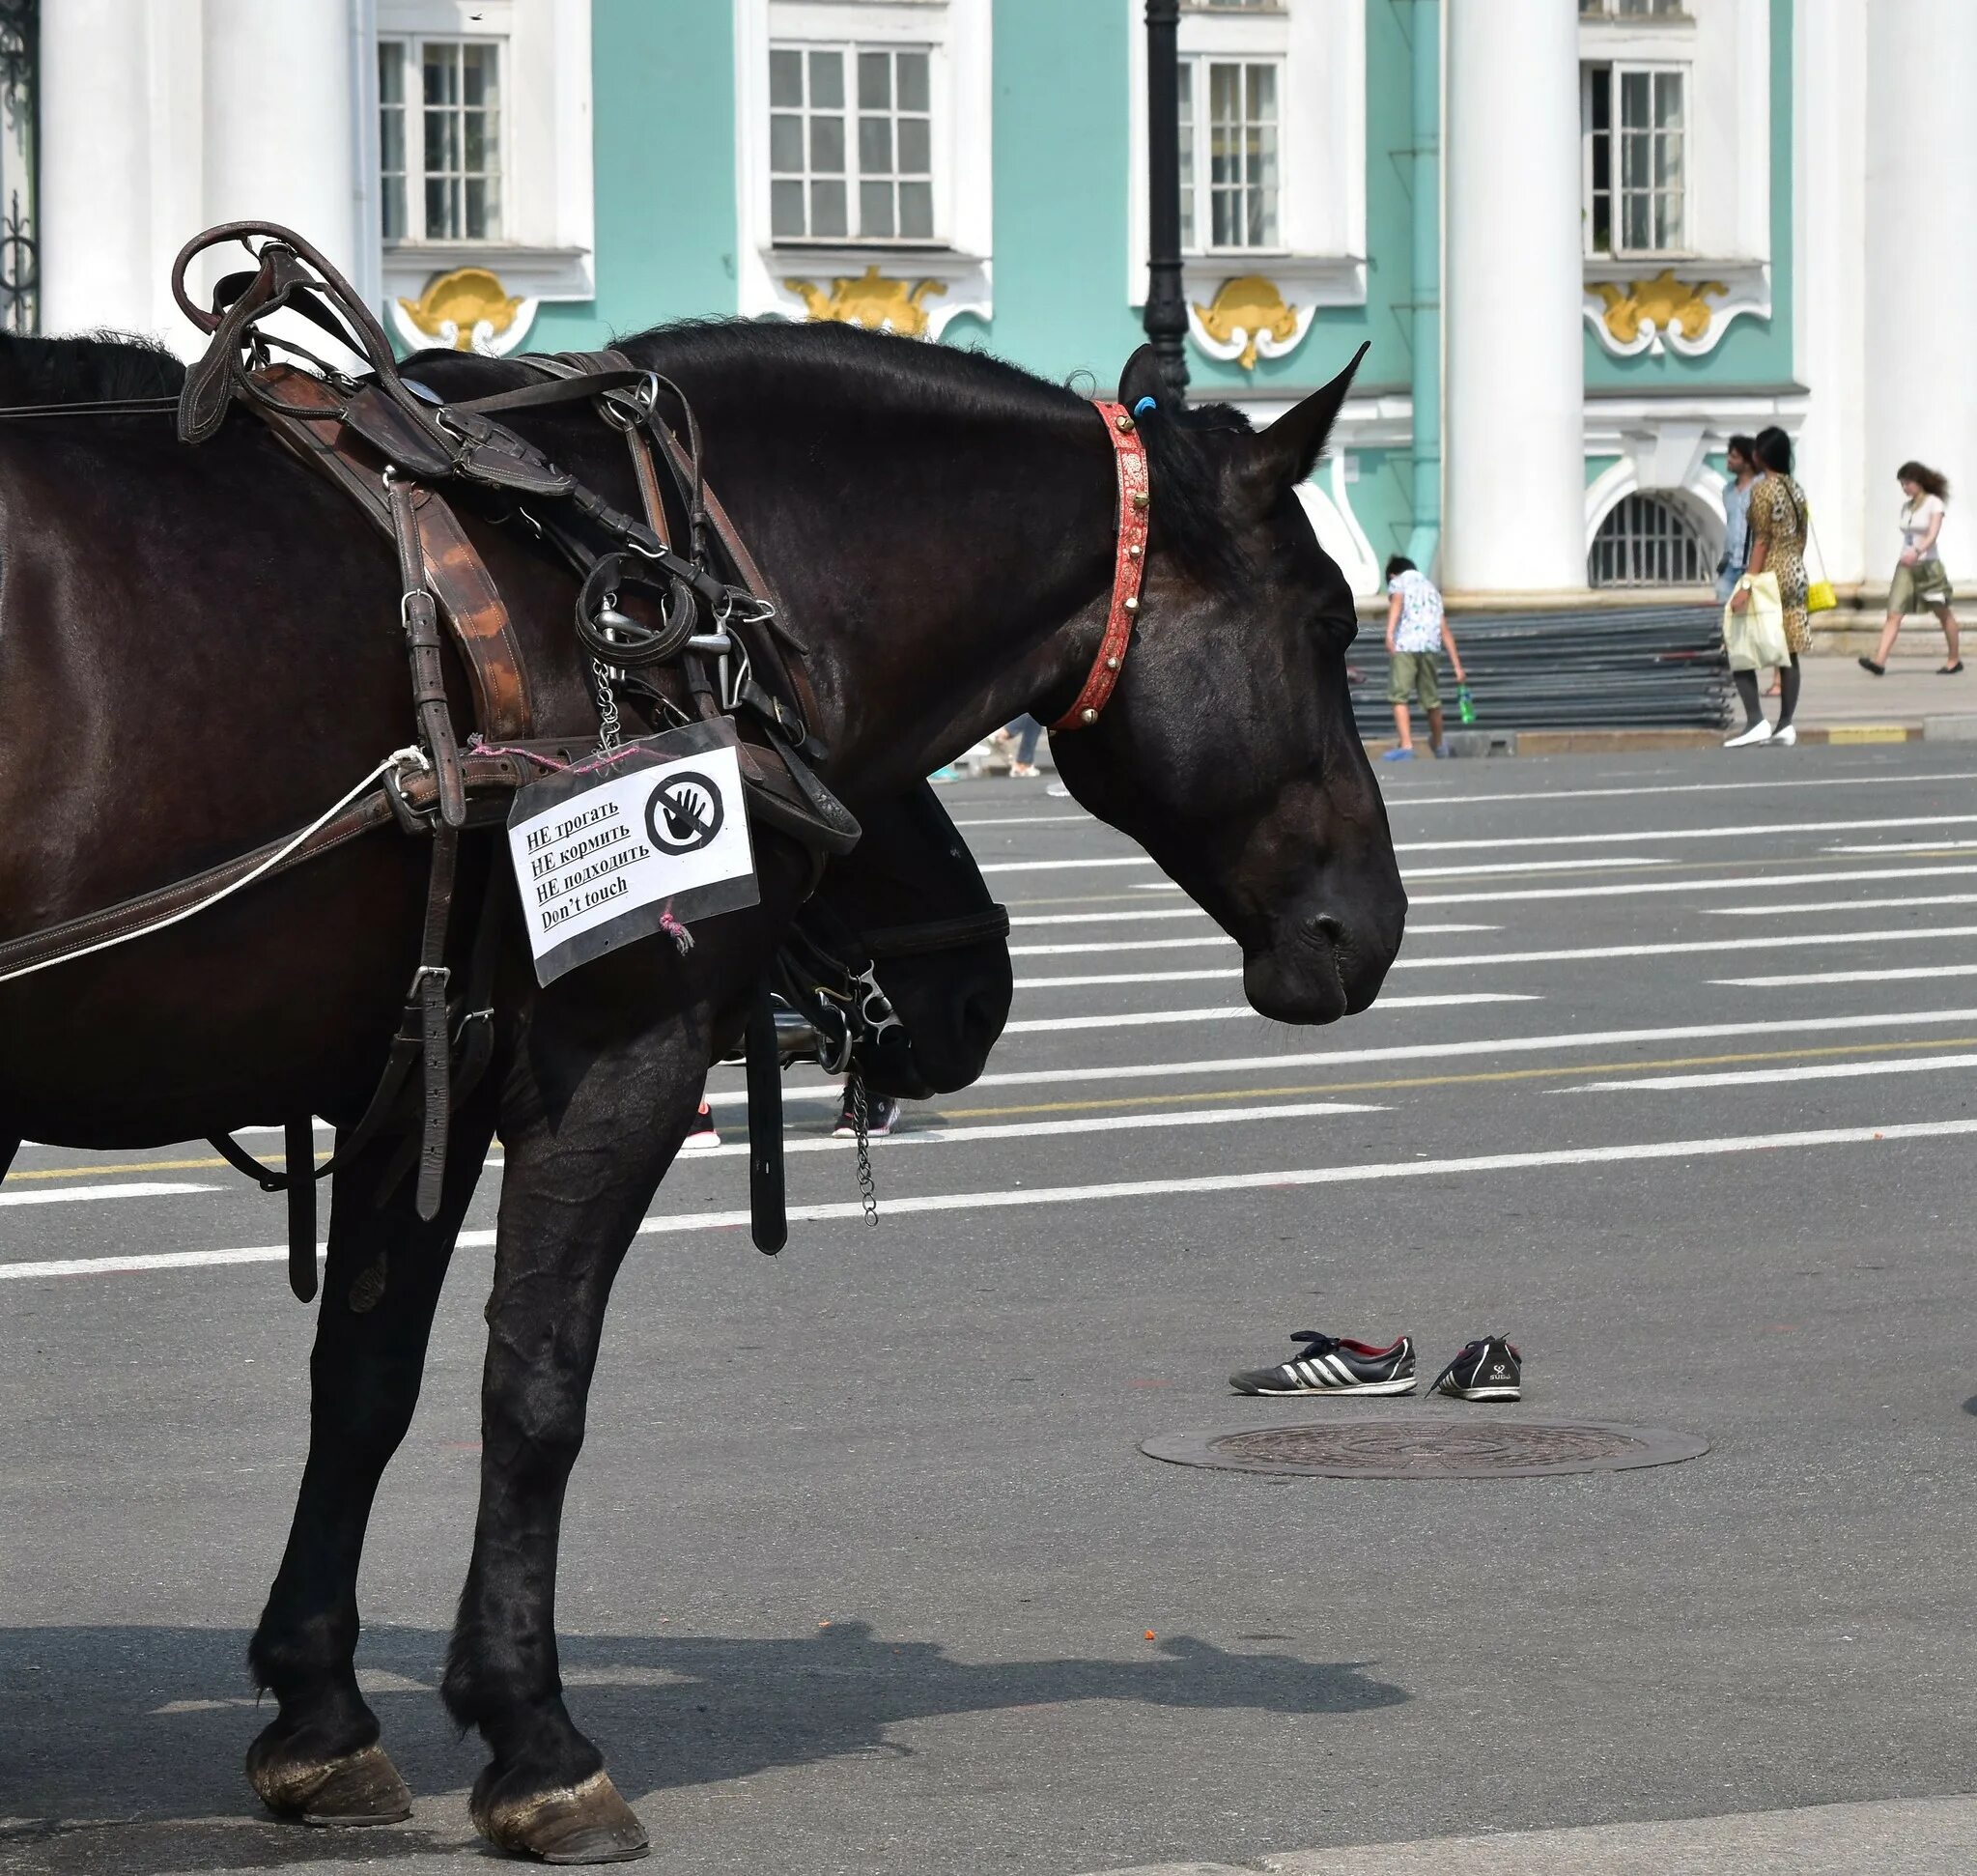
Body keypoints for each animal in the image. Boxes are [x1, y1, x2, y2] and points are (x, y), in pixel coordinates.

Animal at [0, 314, 1407, 1850]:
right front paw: (534, 1736)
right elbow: (535, 1387)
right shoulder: (616, 1059)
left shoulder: (424, 1076)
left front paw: (319, 1712)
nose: (1367, 926)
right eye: (1328, 624)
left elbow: (364, 1384)